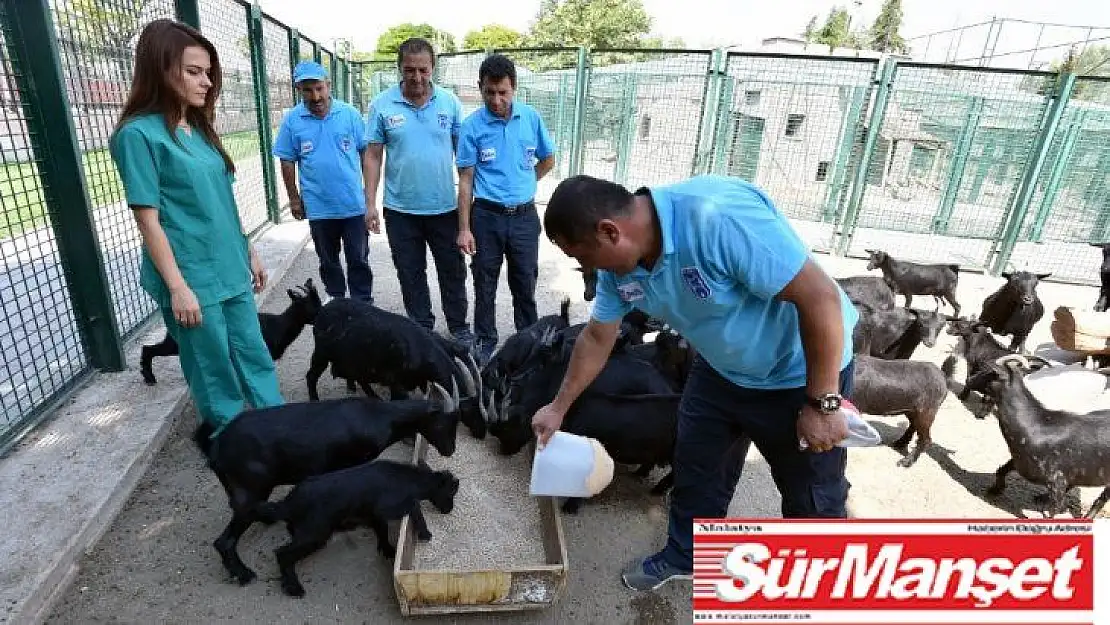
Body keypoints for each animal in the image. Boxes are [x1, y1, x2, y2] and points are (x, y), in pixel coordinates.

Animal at [138, 277, 321, 384]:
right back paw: (149, 377)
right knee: (148, 348)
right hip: (175, 344)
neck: (280, 325)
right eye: (313, 307)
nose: (323, 315)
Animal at [255, 459, 459, 595]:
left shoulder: (374, 515)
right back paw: (293, 586)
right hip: (315, 534)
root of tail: (288, 503)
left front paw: (387, 549)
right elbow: (413, 507)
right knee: (283, 554)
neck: (408, 480)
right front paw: (424, 533)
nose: (449, 510)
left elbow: (382, 532)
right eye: (451, 492)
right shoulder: (385, 507)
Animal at [981, 355, 1110, 521]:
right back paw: (1042, 497)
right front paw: (994, 490)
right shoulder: (1019, 462)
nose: (969, 379)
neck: (1036, 425)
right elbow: (1001, 470)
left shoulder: (1057, 482)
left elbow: (1054, 510)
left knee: (1101, 499)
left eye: (988, 373)